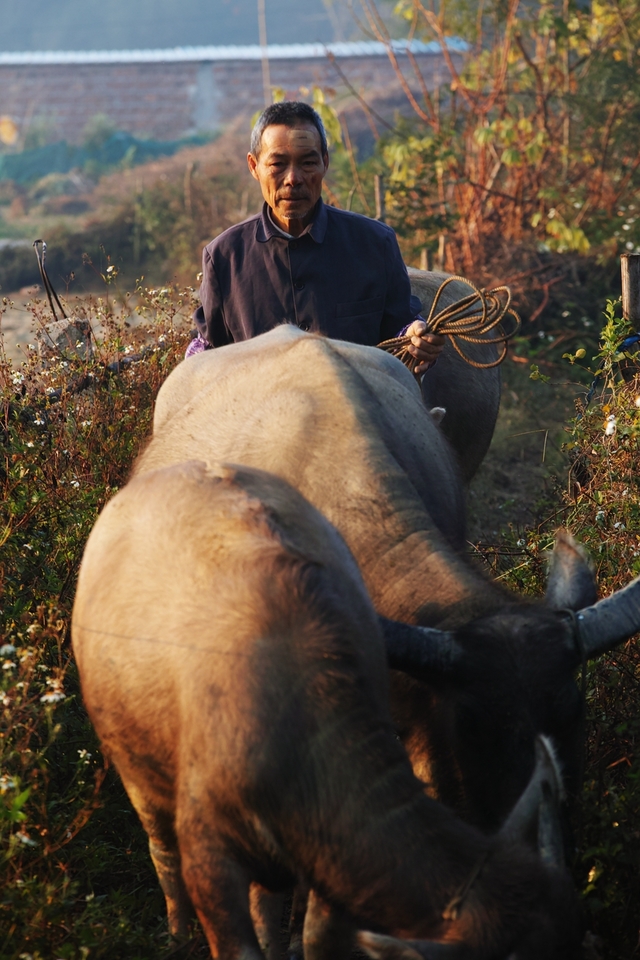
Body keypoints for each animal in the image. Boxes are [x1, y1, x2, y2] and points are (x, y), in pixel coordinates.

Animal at [72, 462, 584, 956]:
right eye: (471, 726)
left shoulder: (326, 848)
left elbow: (317, 935)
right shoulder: (209, 857)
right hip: (135, 773)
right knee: (163, 854)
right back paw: (176, 935)